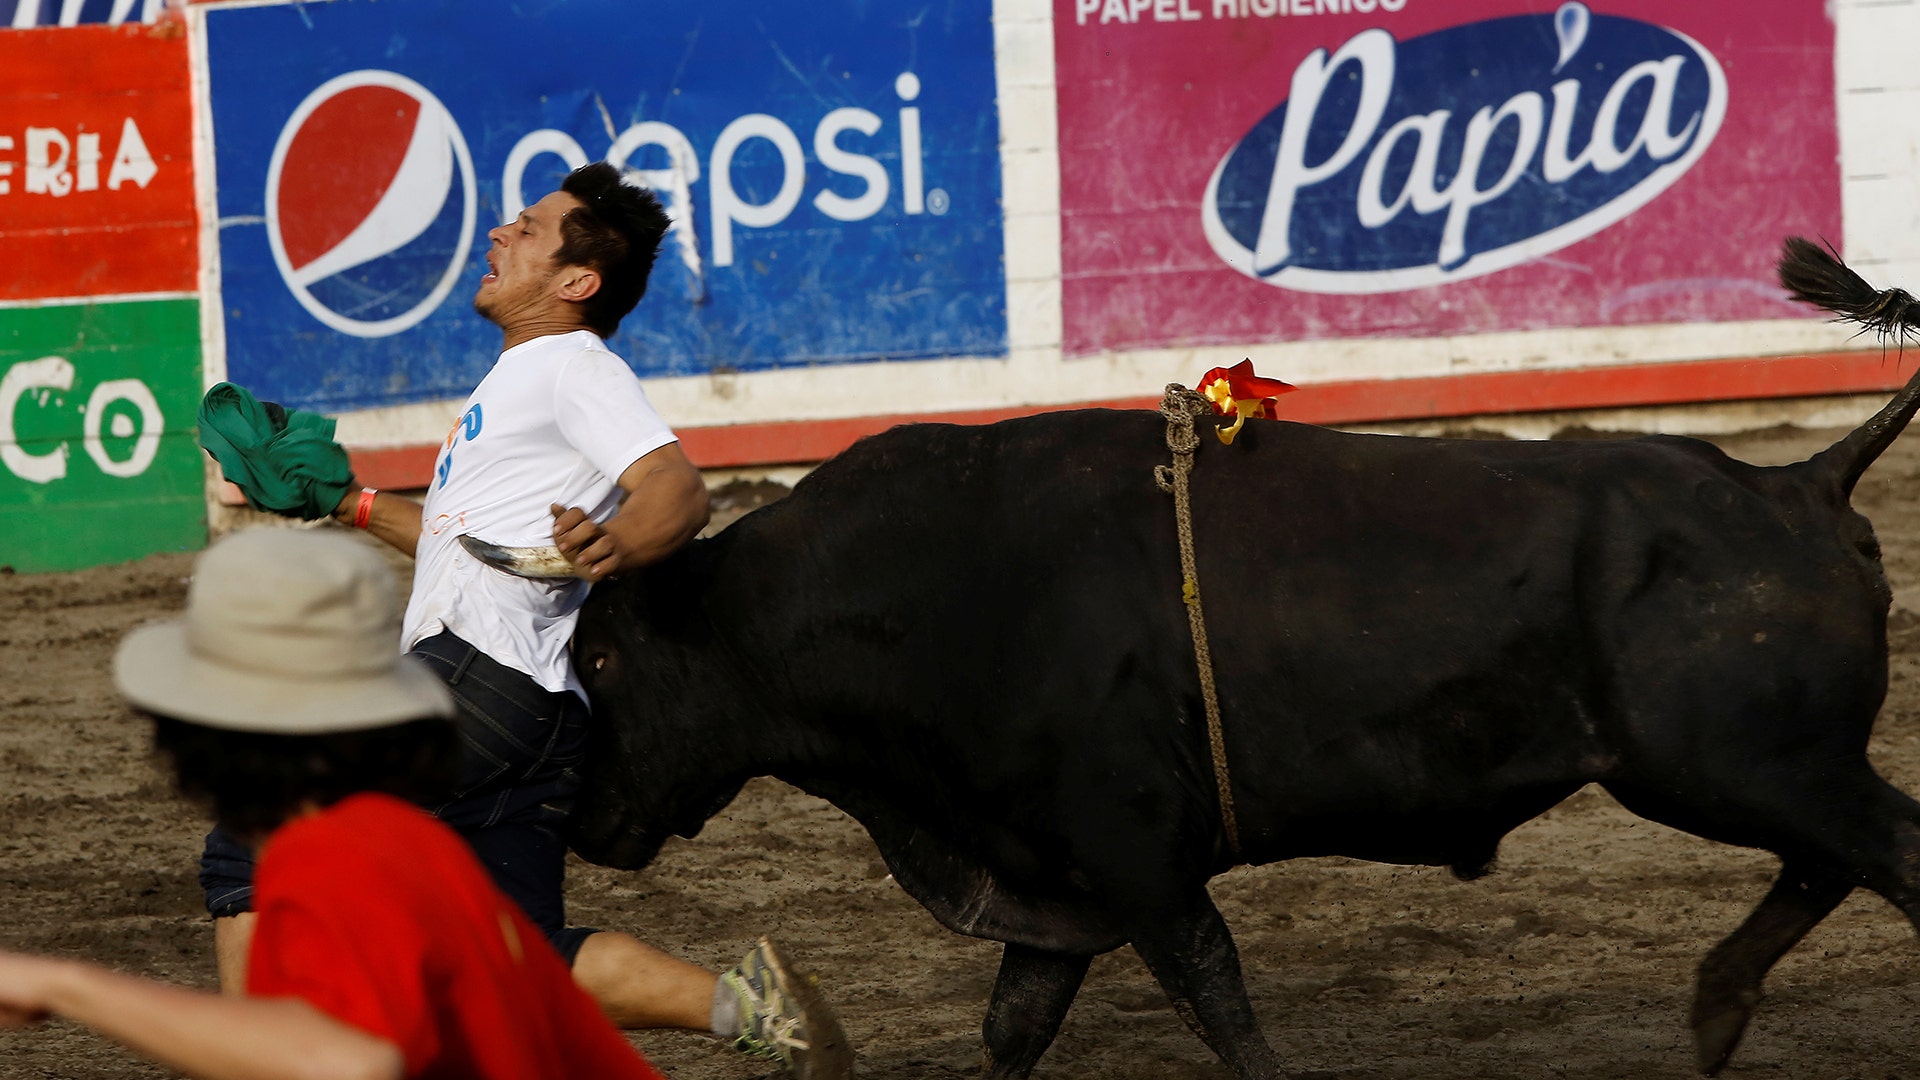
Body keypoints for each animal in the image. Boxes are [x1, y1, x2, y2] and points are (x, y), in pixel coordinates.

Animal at [532, 241, 1920, 1078]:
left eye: (601, 653)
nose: (577, 815)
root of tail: (1800, 481)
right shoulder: (1052, 875)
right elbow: (1014, 1025)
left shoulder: (1138, 859)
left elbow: (1216, 997)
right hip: (1758, 771)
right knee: (1830, 863)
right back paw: (1717, 1008)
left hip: (1742, 765)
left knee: (1882, 854)